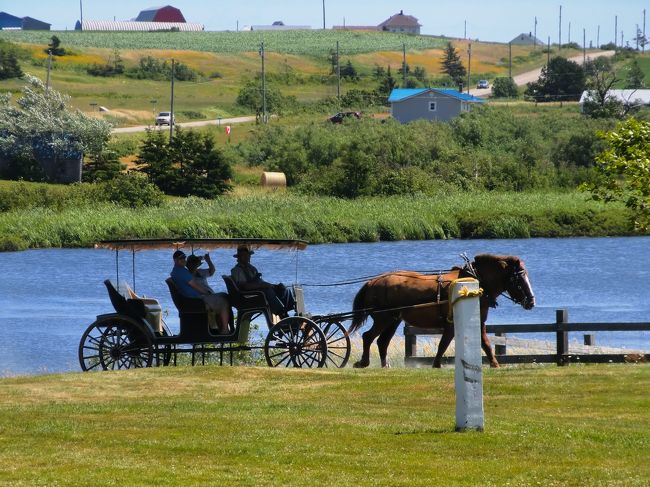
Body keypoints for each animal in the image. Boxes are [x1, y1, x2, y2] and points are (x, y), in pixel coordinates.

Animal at [346, 258, 536, 368]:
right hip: (383, 318)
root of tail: (372, 282)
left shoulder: (479, 322)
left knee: (382, 342)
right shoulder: (451, 324)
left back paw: (384, 365)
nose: (531, 301)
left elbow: (486, 344)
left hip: (394, 319)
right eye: (519, 279)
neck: (475, 281)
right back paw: (363, 362)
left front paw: (495, 365)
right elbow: (443, 344)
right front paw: (436, 364)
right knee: (368, 337)